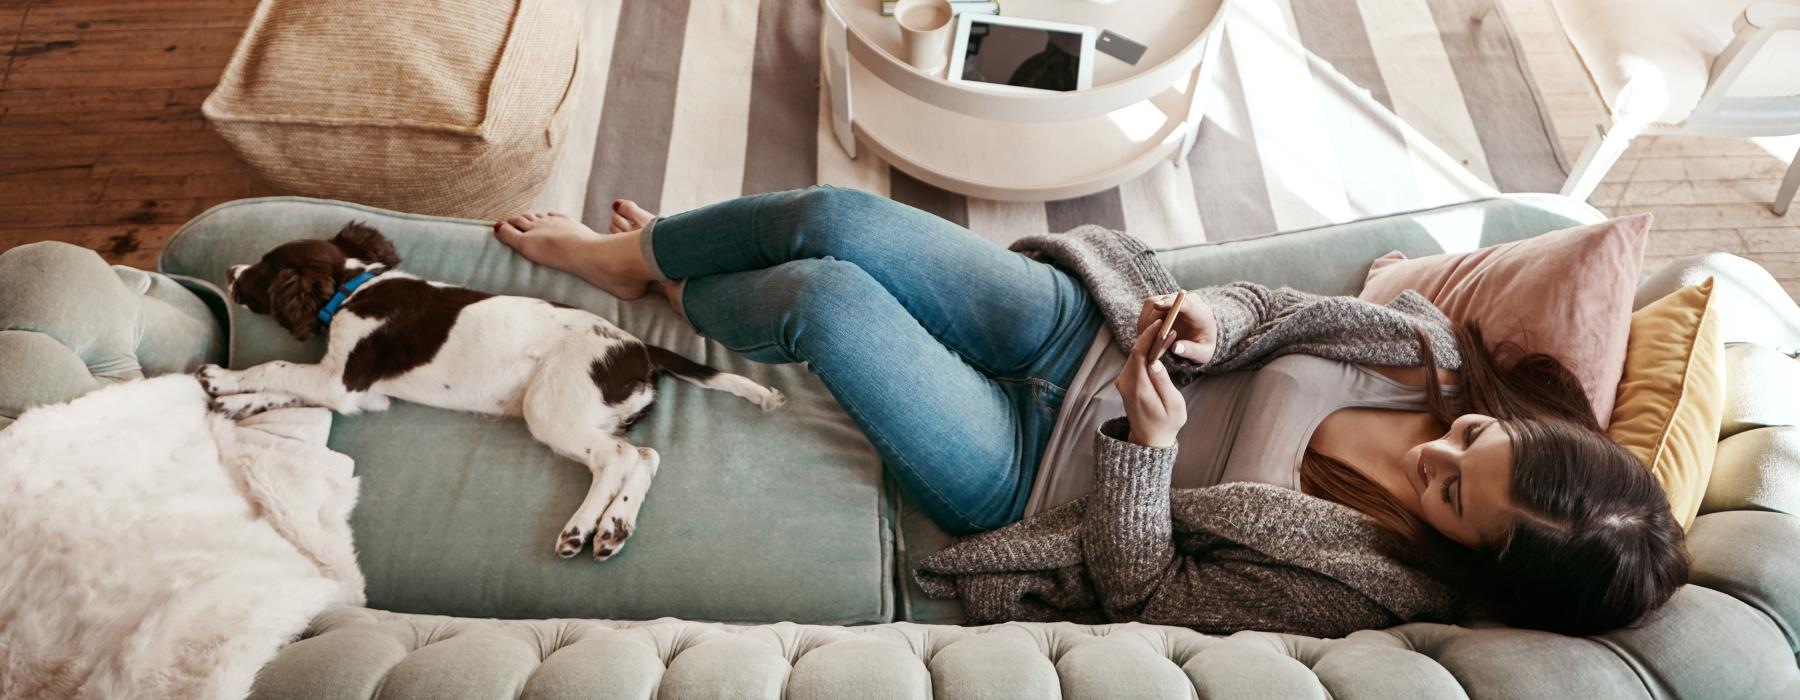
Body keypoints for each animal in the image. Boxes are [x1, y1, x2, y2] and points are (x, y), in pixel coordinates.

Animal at [200, 224, 784, 561]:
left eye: (262, 270)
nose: (228, 269)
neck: (353, 287)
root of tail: (638, 347)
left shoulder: (342, 381)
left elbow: (280, 366)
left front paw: (225, 379)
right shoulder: (360, 392)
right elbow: (285, 390)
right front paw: (235, 401)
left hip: (550, 407)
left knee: (616, 458)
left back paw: (581, 529)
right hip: (595, 413)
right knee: (645, 456)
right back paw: (614, 528)